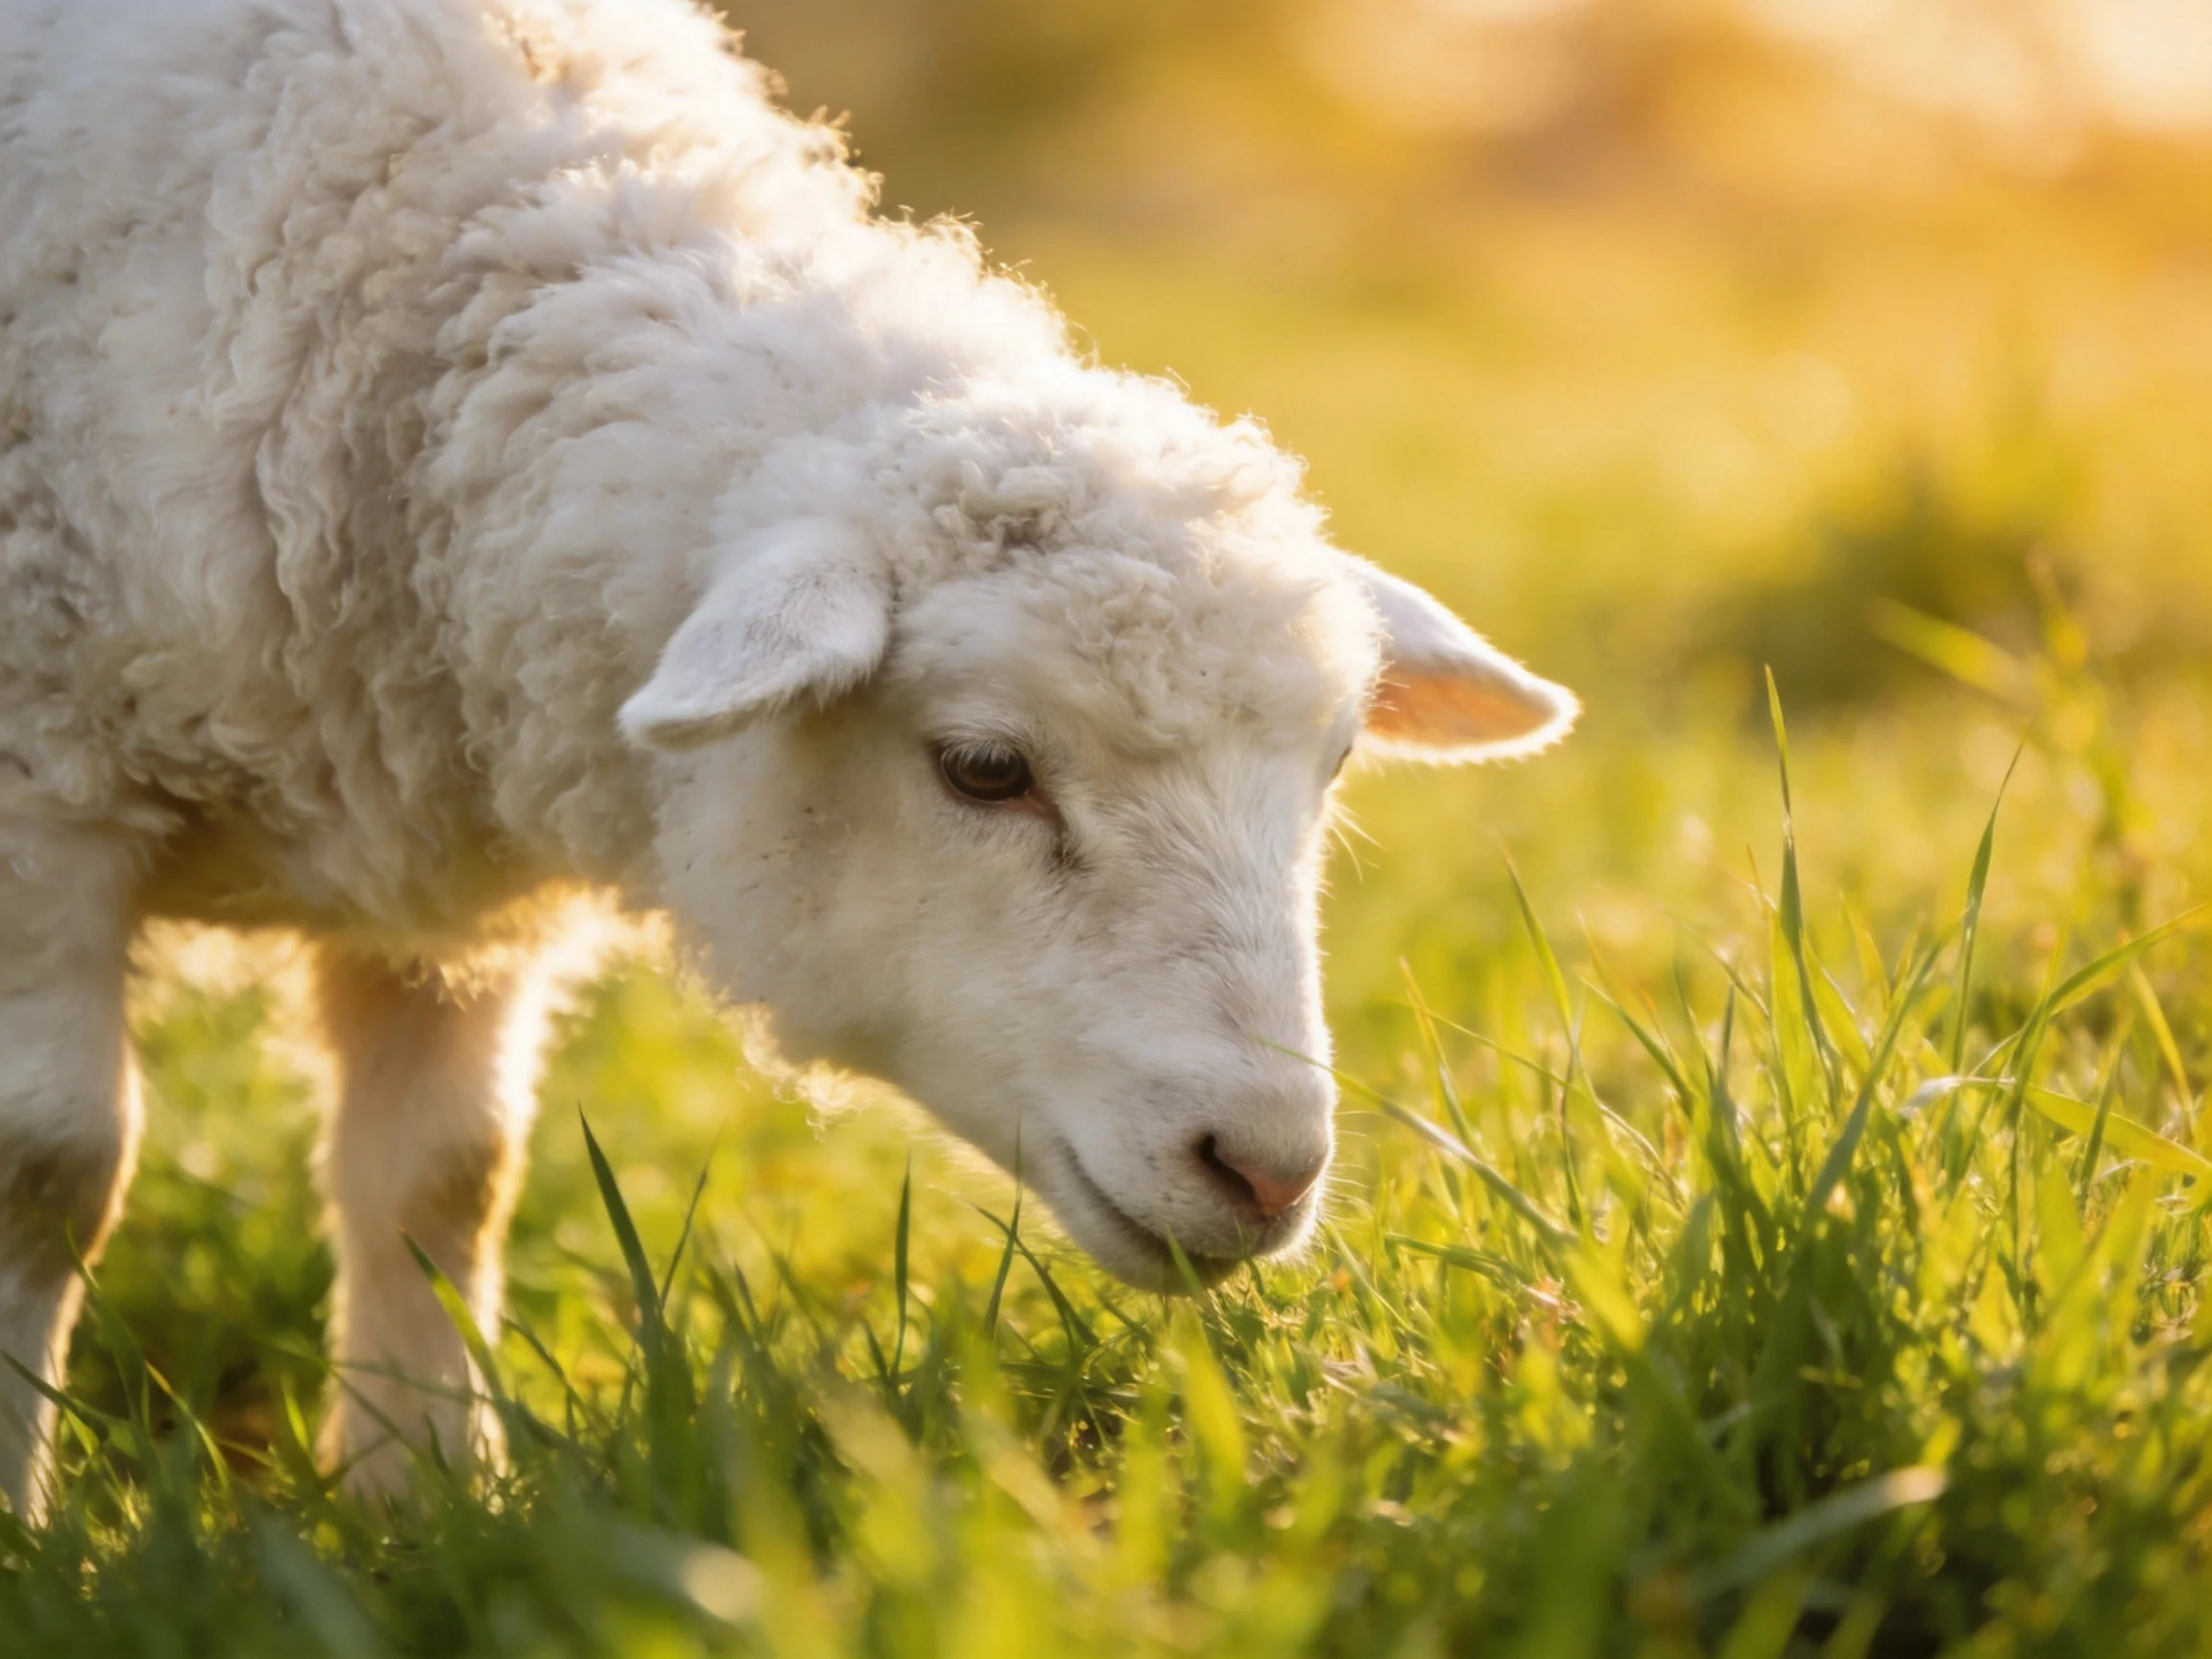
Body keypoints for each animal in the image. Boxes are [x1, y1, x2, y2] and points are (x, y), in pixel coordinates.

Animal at [0, 0, 1577, 1514]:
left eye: (1331, 766)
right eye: (984, 767)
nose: (1264, 1167)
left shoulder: (431, 876)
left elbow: (443, 1181)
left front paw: (421, 1505)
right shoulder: (37, 790)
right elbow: (50, 1164)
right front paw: (33, 1531)